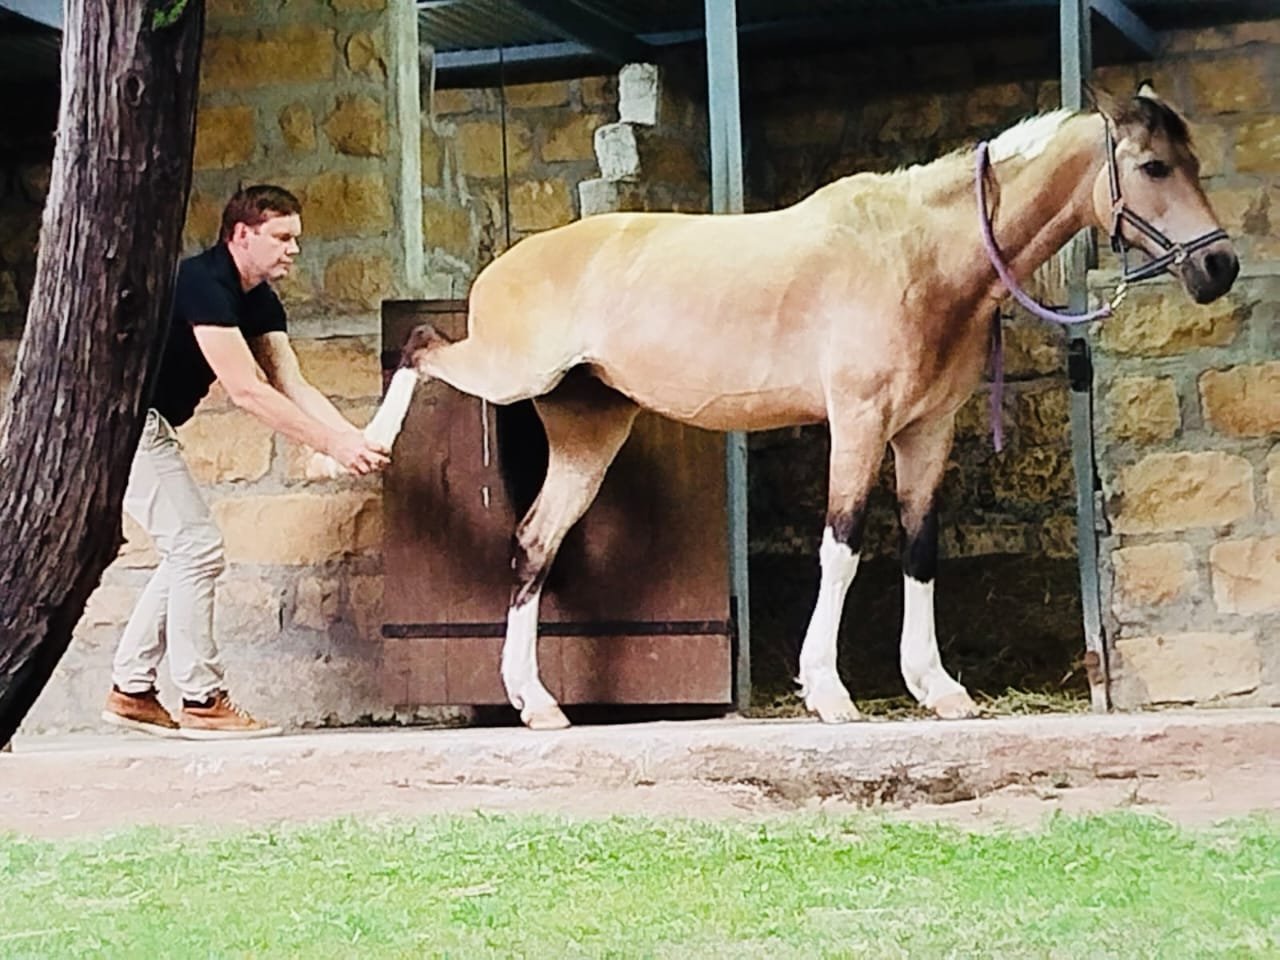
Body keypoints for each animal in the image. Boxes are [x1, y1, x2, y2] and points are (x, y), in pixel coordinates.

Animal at [323, 84, 1237, 730]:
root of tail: (507, 262)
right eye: (1154, 167)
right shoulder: (859, 422)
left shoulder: (925, 433)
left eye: (1193, 163)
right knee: (421, 348)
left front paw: (937, 687)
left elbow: (919, 551)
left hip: (590, 431)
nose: (1218, 268)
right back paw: (364, 444)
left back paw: (536, 703)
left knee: (534, 547)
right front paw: (828, 691)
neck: (920, 254)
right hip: (507, 372)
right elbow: (842, 546)